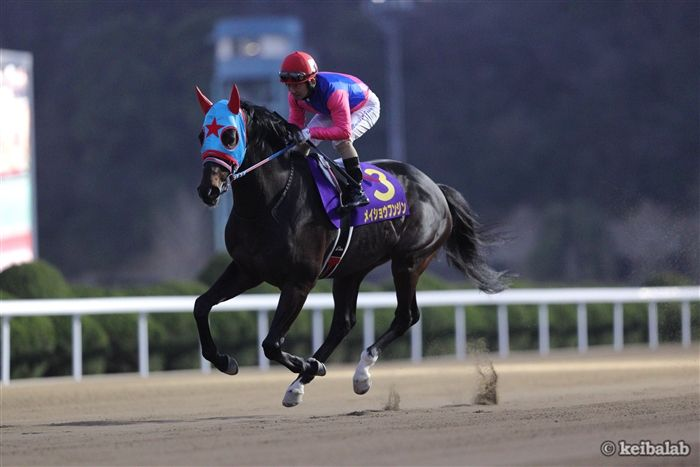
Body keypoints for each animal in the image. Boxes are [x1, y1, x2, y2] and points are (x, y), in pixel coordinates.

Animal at [193, 84, 508, 407]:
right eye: (202, 135)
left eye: (230, 135)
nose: (209, 190)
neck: (269, 203)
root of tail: (436, 188)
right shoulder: (247, 269)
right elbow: (201, 306)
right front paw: (224, 360)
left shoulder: (299, 282)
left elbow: (271, 343)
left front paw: (309, 364)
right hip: (351, 269)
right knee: (344, 323)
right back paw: (299, 385)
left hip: (409, 261)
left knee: (405, 316)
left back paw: (359, 374)